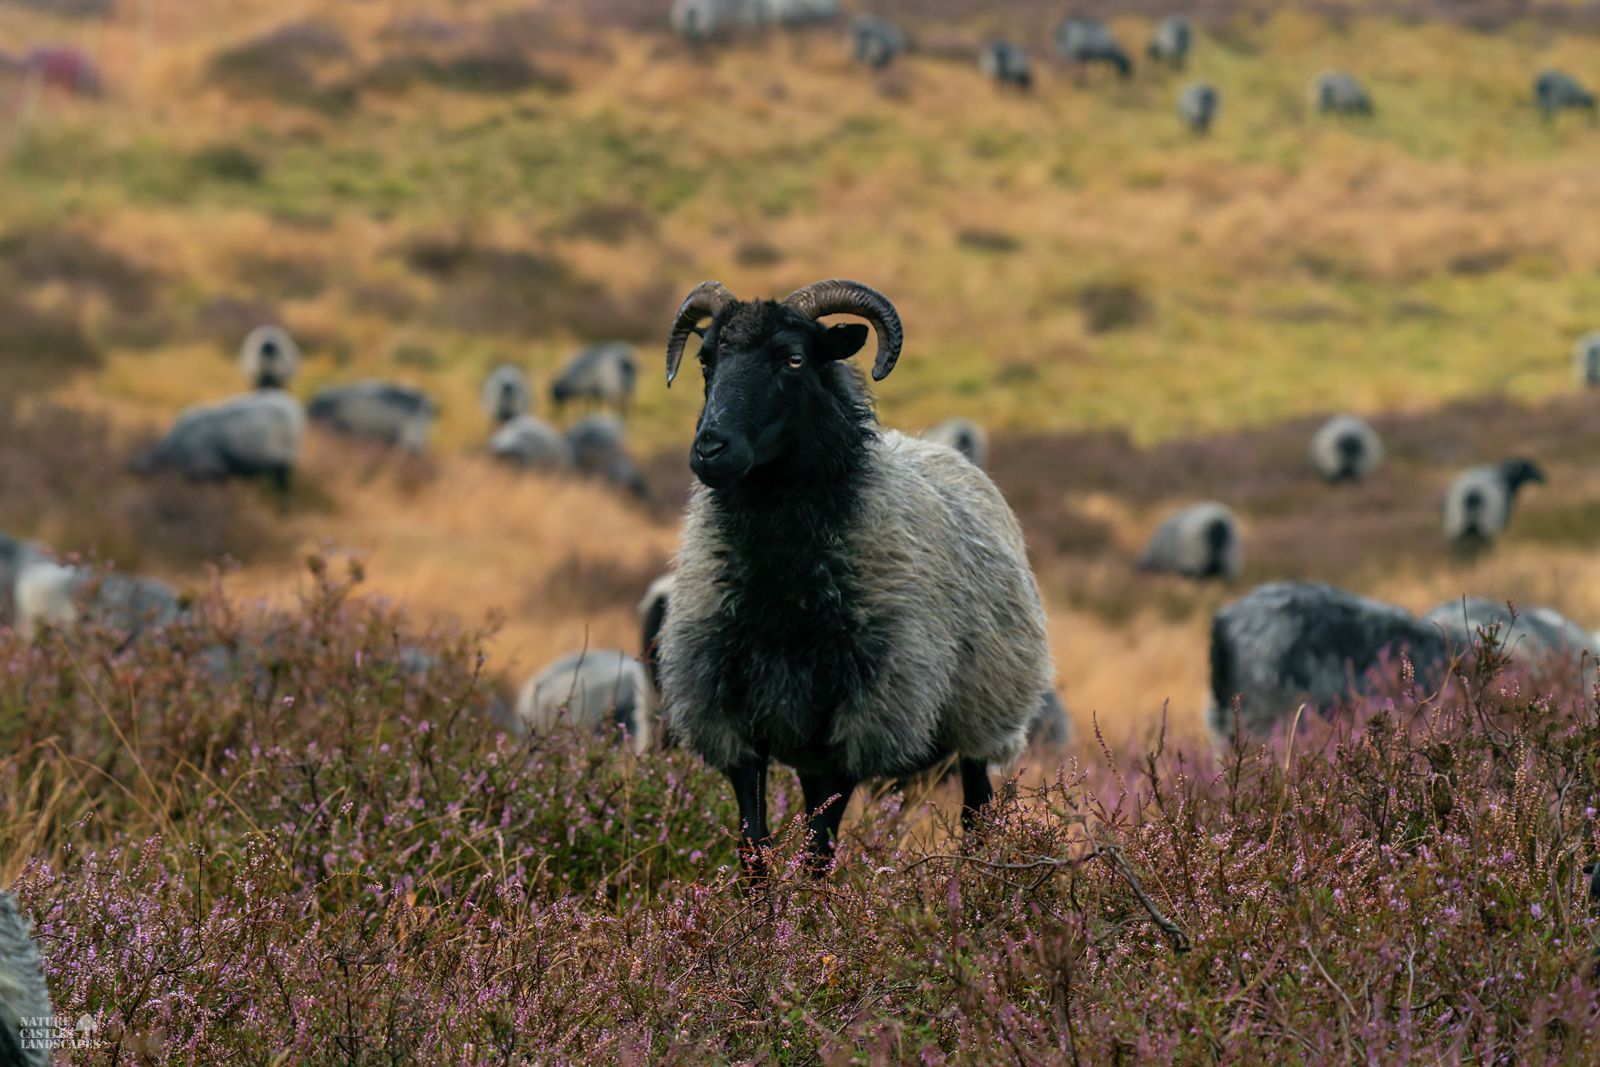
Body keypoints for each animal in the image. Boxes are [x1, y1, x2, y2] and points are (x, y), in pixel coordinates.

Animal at [656, 278, 1053, 876]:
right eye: (706, 361)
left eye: (794, 359)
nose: (710, 448)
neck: (784, 589)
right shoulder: (730, 715)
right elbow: (754, 847)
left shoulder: (862, 720)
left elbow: (820, 851)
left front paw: (811, 904)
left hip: (982, 718)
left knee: (977, 819)